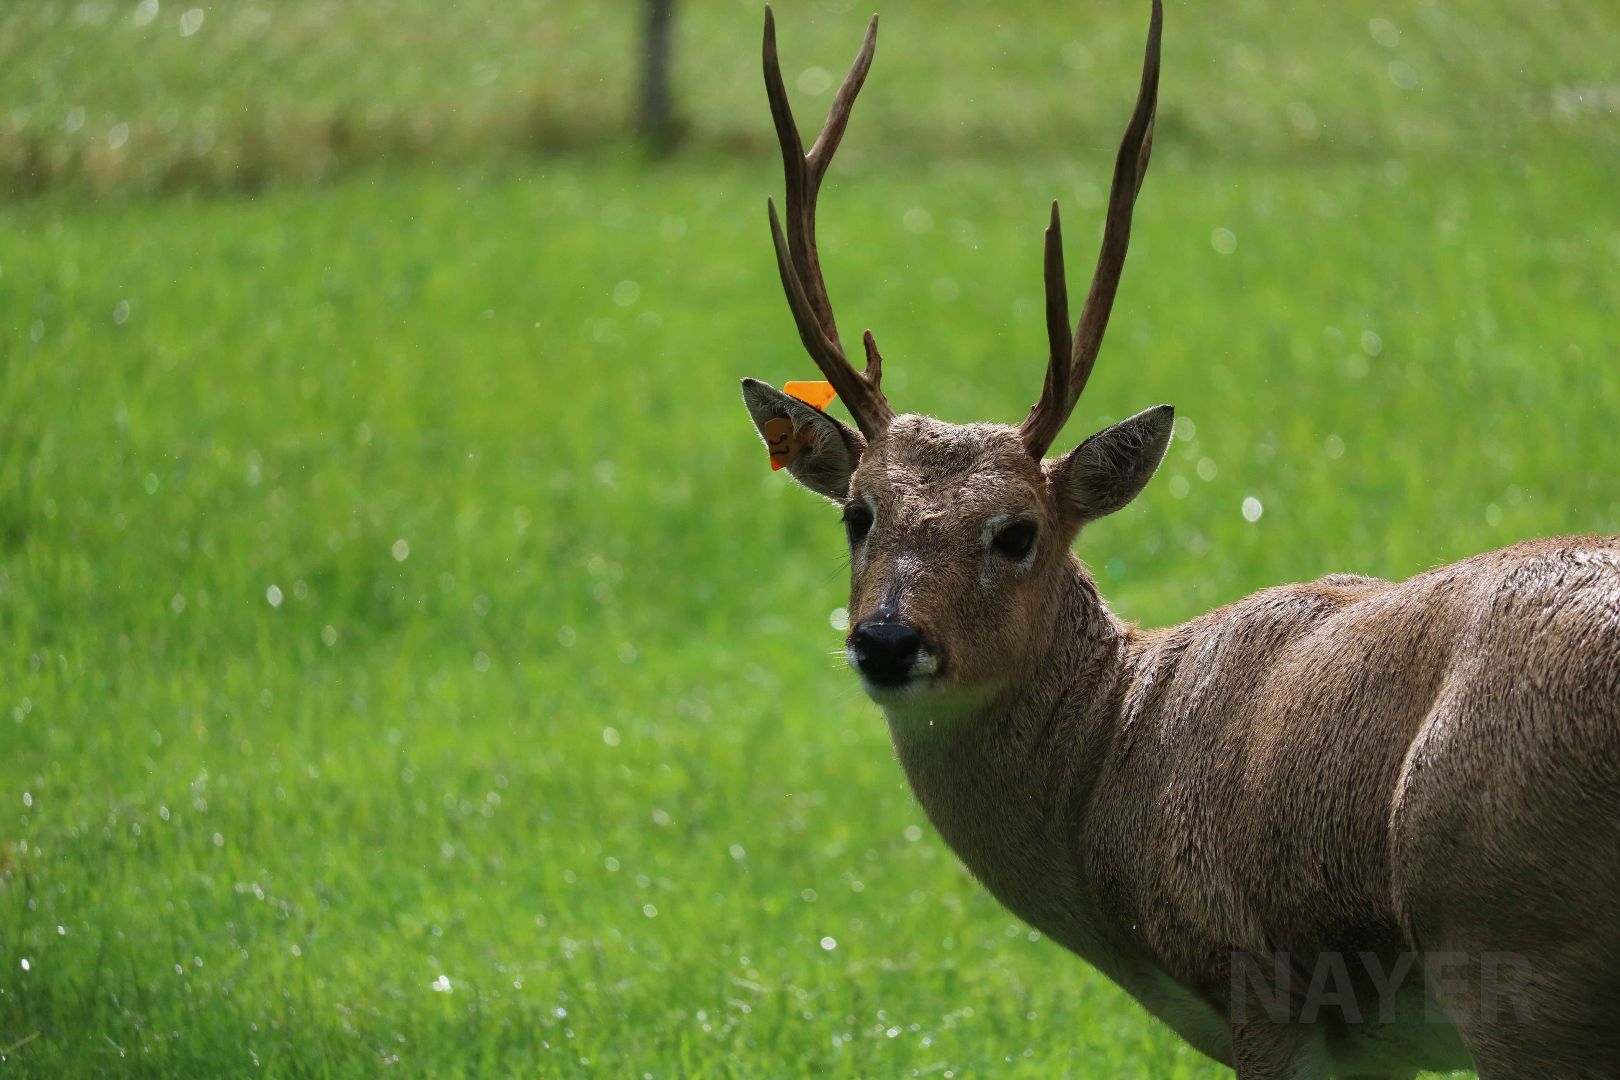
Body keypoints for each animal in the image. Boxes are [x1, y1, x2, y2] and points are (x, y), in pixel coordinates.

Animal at [738, 2, 1620, 1077]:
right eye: (858, 513)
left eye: (1018, 532)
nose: (886, 640)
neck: (1119, 747)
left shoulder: (1258, 984)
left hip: (1515, 939)